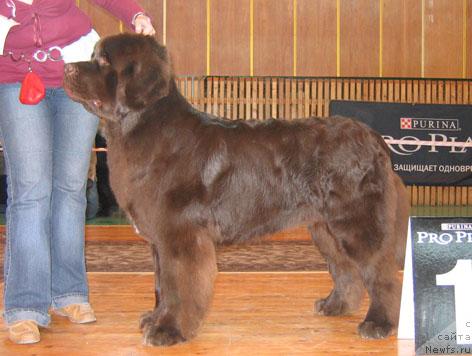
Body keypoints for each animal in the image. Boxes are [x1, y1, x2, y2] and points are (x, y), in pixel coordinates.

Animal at [62, 32, 410, 344]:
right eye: (93, 55)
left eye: (104, 60)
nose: (66, 69)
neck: (141, 126)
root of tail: (374, 139)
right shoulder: (159, 239)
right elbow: (162, 284)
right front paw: (154, 319)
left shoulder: (180, 234)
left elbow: (179, 285)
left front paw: (169, 331)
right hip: (325, 228)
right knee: (345, 268)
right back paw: (335, 306)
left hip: (356, 222)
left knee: (380, 273)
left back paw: (379, 324)